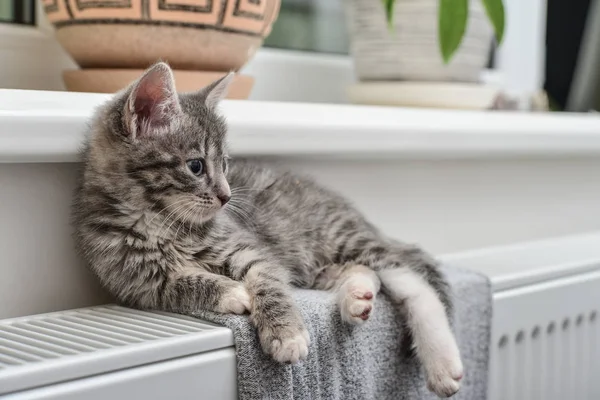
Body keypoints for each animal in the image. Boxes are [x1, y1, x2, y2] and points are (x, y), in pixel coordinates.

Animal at [71, 62, 464, 396]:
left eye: (226, 164)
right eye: (196, 166)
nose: (227, 197)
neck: (160, 221)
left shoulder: (250, 248)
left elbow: (269, 282)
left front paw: (285, 334)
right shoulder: (136, 282)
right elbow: (180, 283)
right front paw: (231, 291)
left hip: (337, 236)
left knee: (409, 274)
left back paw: (442, 360)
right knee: (366, 270)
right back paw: (358, 297)